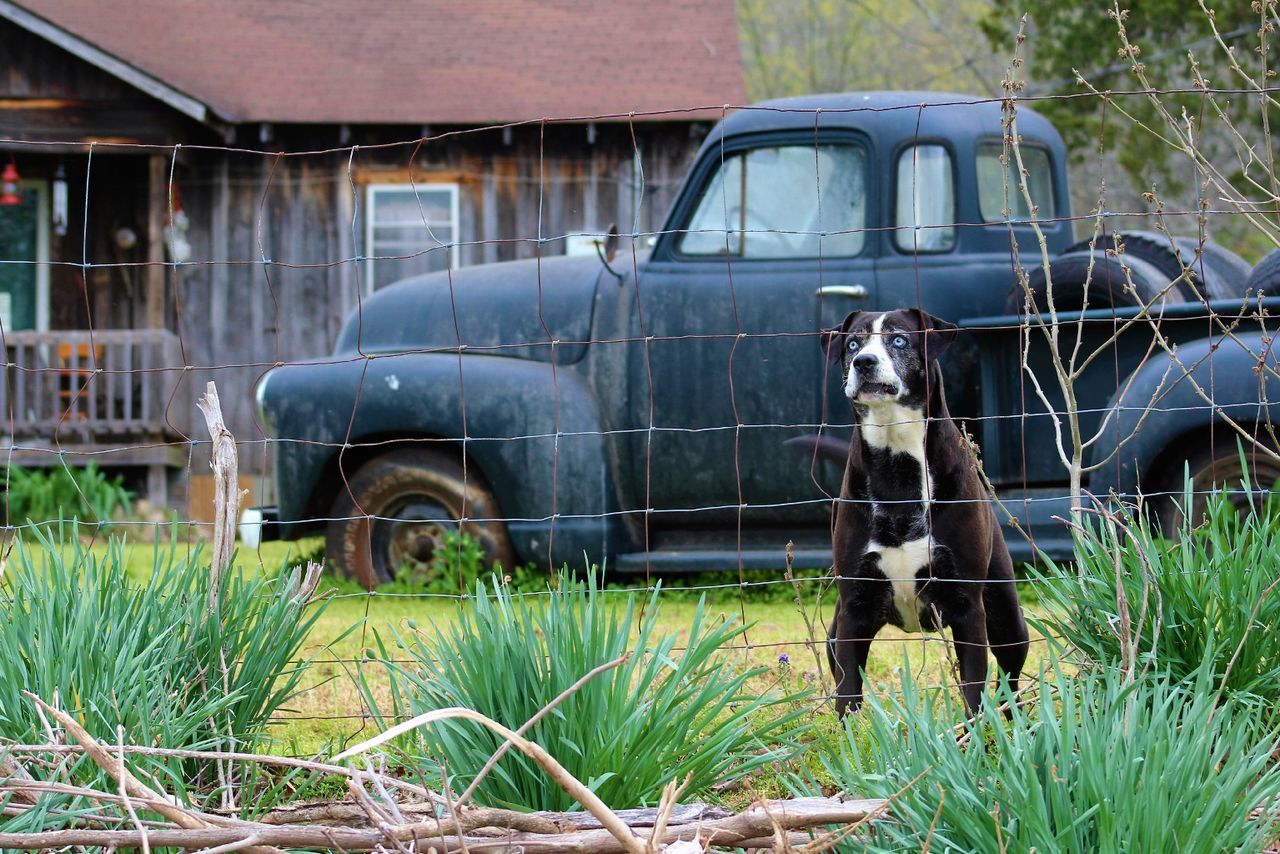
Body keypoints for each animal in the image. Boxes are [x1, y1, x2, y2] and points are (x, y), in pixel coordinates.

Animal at [819, 307, 1029, 717]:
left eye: (899, 340)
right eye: (852, 343)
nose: (863, 361)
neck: (896, 461)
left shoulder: (967, 606)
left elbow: (974, 686)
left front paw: (974, 733)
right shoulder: (854, 606)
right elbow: (848, 690)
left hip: (1007, 616)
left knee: (1009, 675)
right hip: (835, 633)